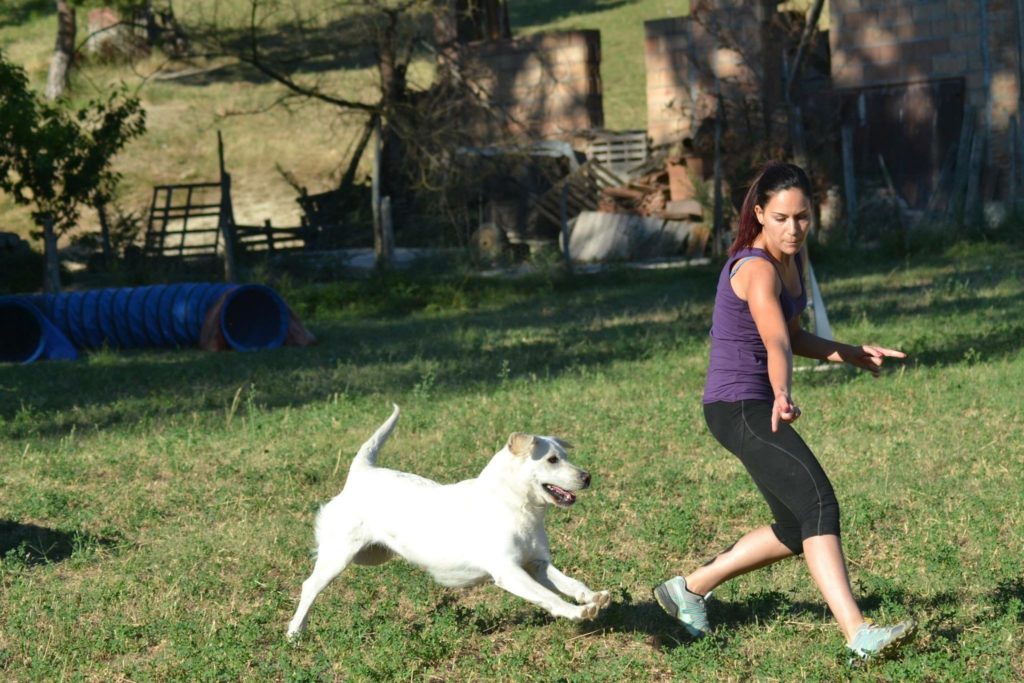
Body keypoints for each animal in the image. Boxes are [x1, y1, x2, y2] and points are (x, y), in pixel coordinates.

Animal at [284, 405, 610, 634]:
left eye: (564, 455)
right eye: (552, 460)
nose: (588, 477)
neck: (515, 505)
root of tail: (361, 473)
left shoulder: (537, 565)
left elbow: (570, 583)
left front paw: (593, 597)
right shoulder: (509, 572)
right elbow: (548, 597)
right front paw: (575, 612)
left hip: (371, 555)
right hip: (339, 556)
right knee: (309, 586)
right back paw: (295, 632)